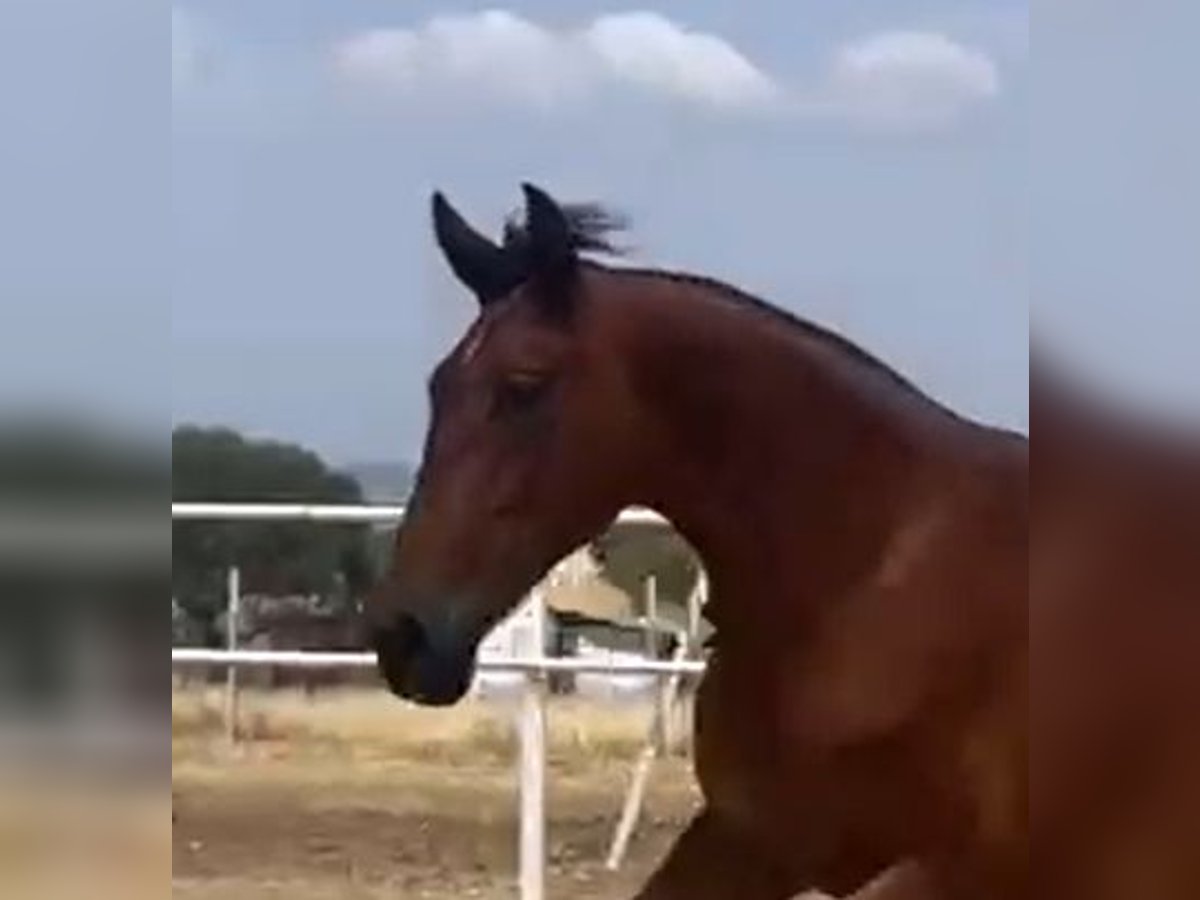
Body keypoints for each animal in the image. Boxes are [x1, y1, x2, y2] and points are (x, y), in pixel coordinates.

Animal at [363, 183, 1186, 898]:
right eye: (439, 386)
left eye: (525, 385)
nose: (402, 637)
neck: (868, 579)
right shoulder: (752, 838)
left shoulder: (971, 869)